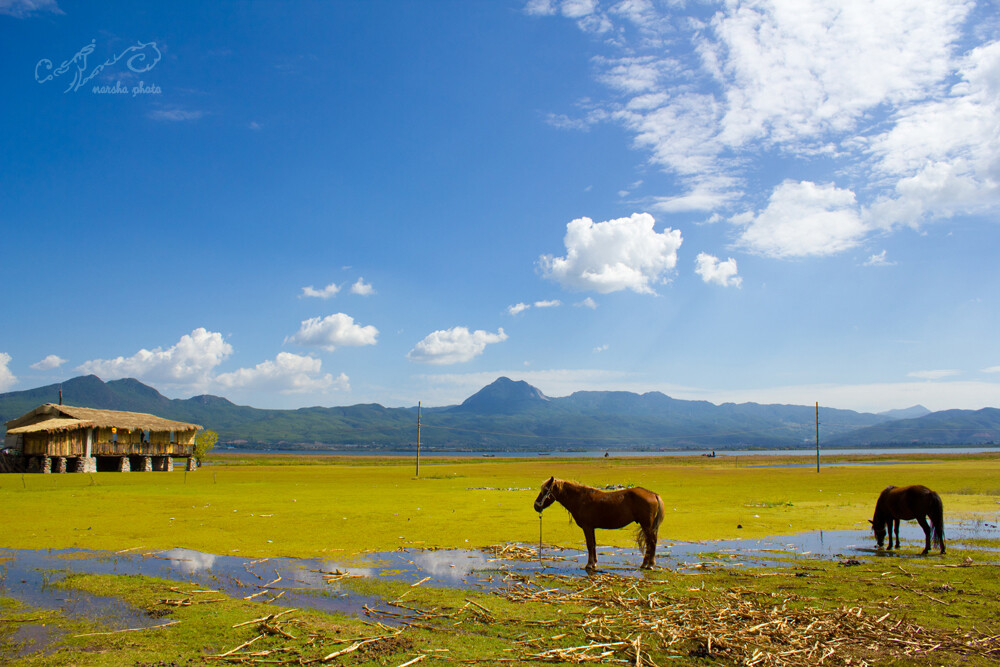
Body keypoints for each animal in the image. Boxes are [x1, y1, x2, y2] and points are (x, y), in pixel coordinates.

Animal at [532, 478, 664, 572]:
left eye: (545, 491)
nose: (536, 506)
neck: (580, 499)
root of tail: (653, 494)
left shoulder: (587, 527)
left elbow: (590, 545)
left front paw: (590, 564)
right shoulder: (591, 528)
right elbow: (594, 544)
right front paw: (594, 562)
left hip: (646, 525)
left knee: (652, 542)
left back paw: (650, 565)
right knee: (649, 543)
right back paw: (644, 564)